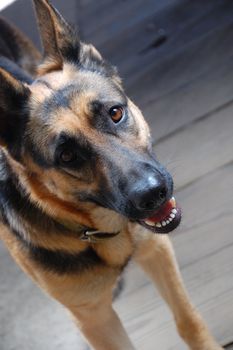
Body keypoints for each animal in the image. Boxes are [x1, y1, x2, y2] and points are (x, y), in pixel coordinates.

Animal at [0, 1, 222, 348]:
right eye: (66, 155)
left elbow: (187, 319)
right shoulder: (95, 319)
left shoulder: (156, 251)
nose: (152, 195)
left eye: (115, 113)